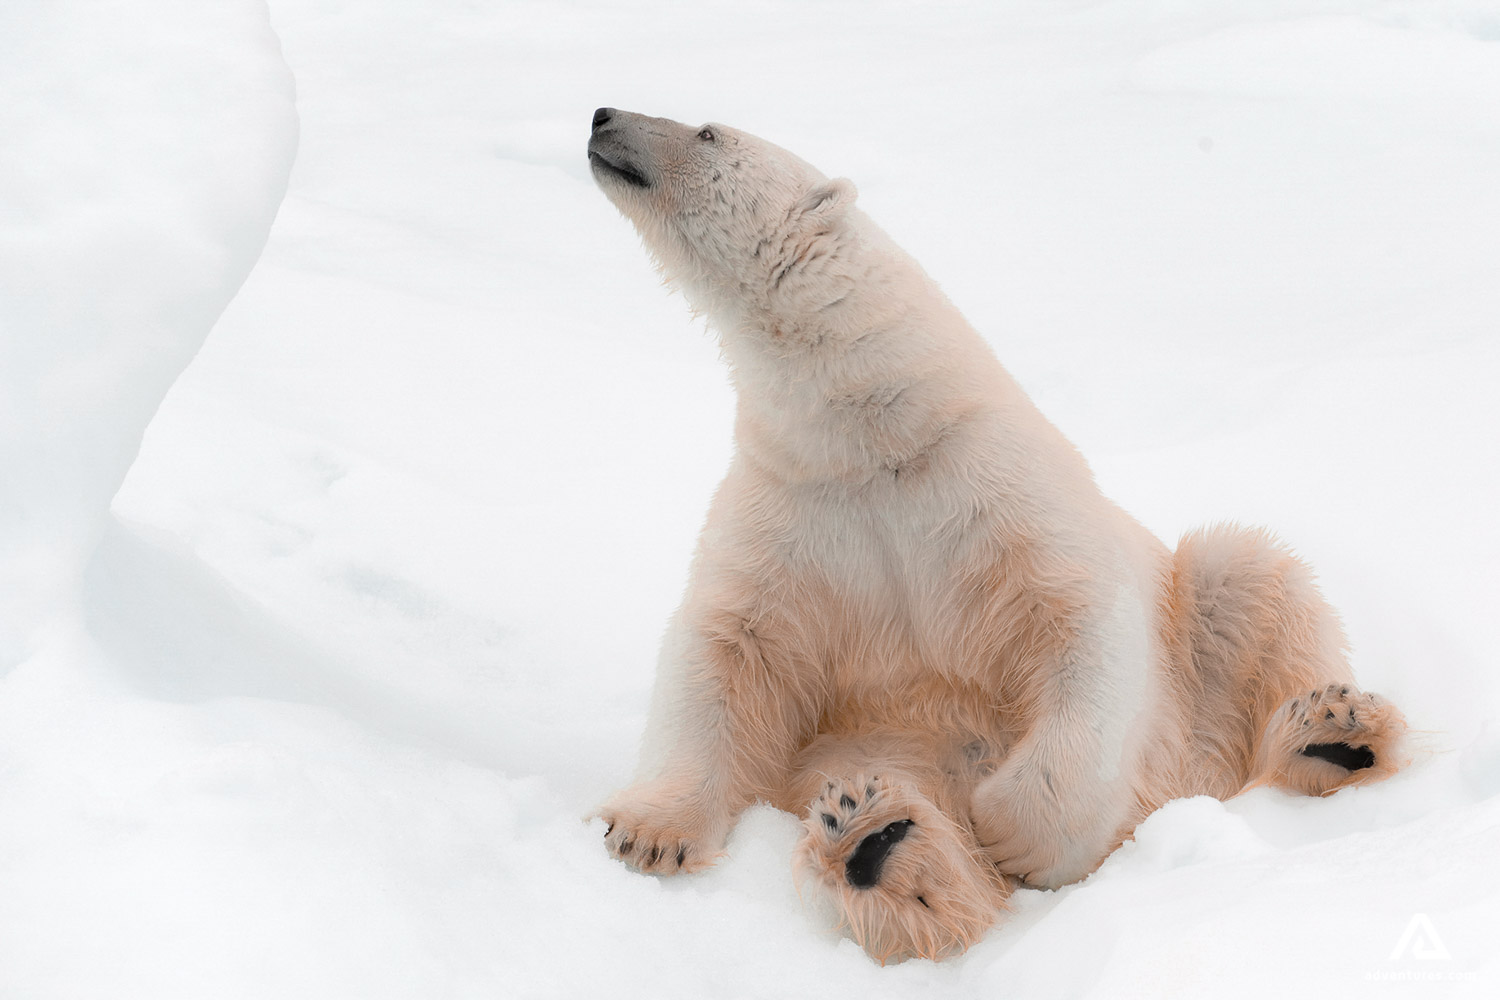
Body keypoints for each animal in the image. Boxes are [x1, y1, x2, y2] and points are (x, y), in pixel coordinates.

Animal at [586, 107, 1408, 962]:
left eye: (707, 131)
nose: (603, 116)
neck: (876, 431)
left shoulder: (991, 483)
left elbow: (1082, 623)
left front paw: (1016, 827)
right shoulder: (795, 507)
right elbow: (727, 647)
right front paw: (647, 833)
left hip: (1200, 685)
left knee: (1245, 575)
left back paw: (1332, 734)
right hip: (877, 742)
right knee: (891, 810)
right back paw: (874, 839)